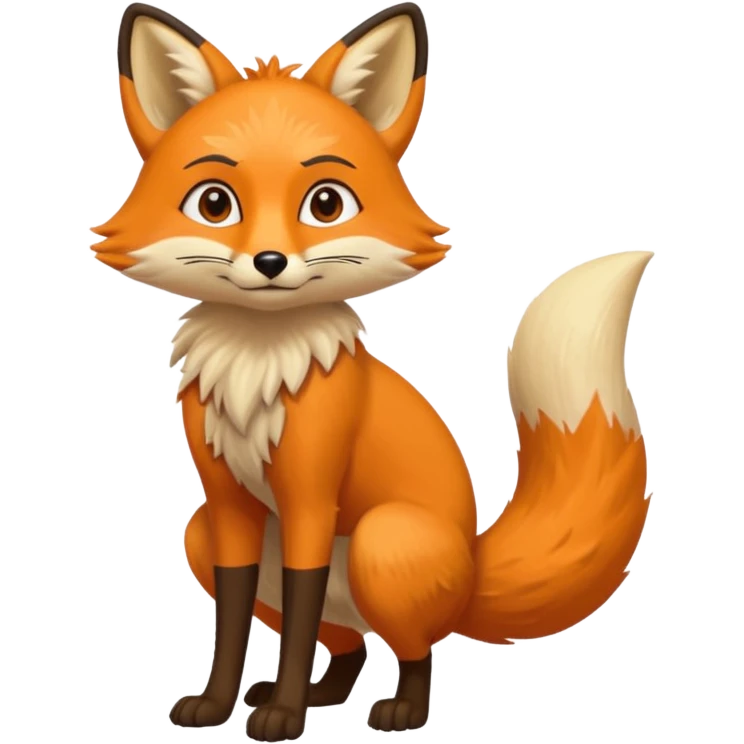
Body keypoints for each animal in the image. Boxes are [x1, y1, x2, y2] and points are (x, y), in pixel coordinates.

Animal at [91, 2, 654, 741]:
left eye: (326, 204)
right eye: (215, 204)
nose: (269, 263)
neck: (258, 366)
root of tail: (472, 570)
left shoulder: (309, 498)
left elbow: (298, 609)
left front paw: (283, 718)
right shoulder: (230, 508)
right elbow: (233, 624)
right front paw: (217, 704)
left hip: (382, 543)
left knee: (416, 649)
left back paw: (399, 709)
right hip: (201, 533)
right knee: (351, 645)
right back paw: (321, 692)